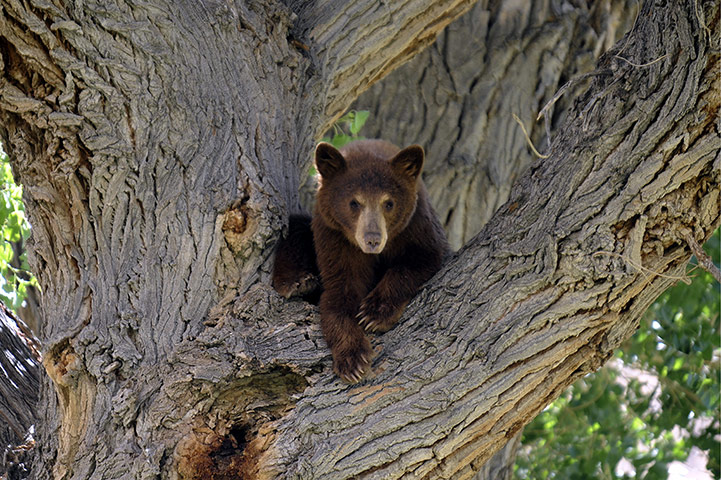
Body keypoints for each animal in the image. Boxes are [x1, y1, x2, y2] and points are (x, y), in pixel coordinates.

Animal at [273, 139, 449, 383]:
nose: (372, 239)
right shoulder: (334, 238)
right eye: (354, 203)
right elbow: (340, 293)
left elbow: (421, 261)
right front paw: (353, 359)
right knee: (297, 225)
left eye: (389, 203)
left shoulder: (418, 227)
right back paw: (297, 282)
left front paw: (374, 312)